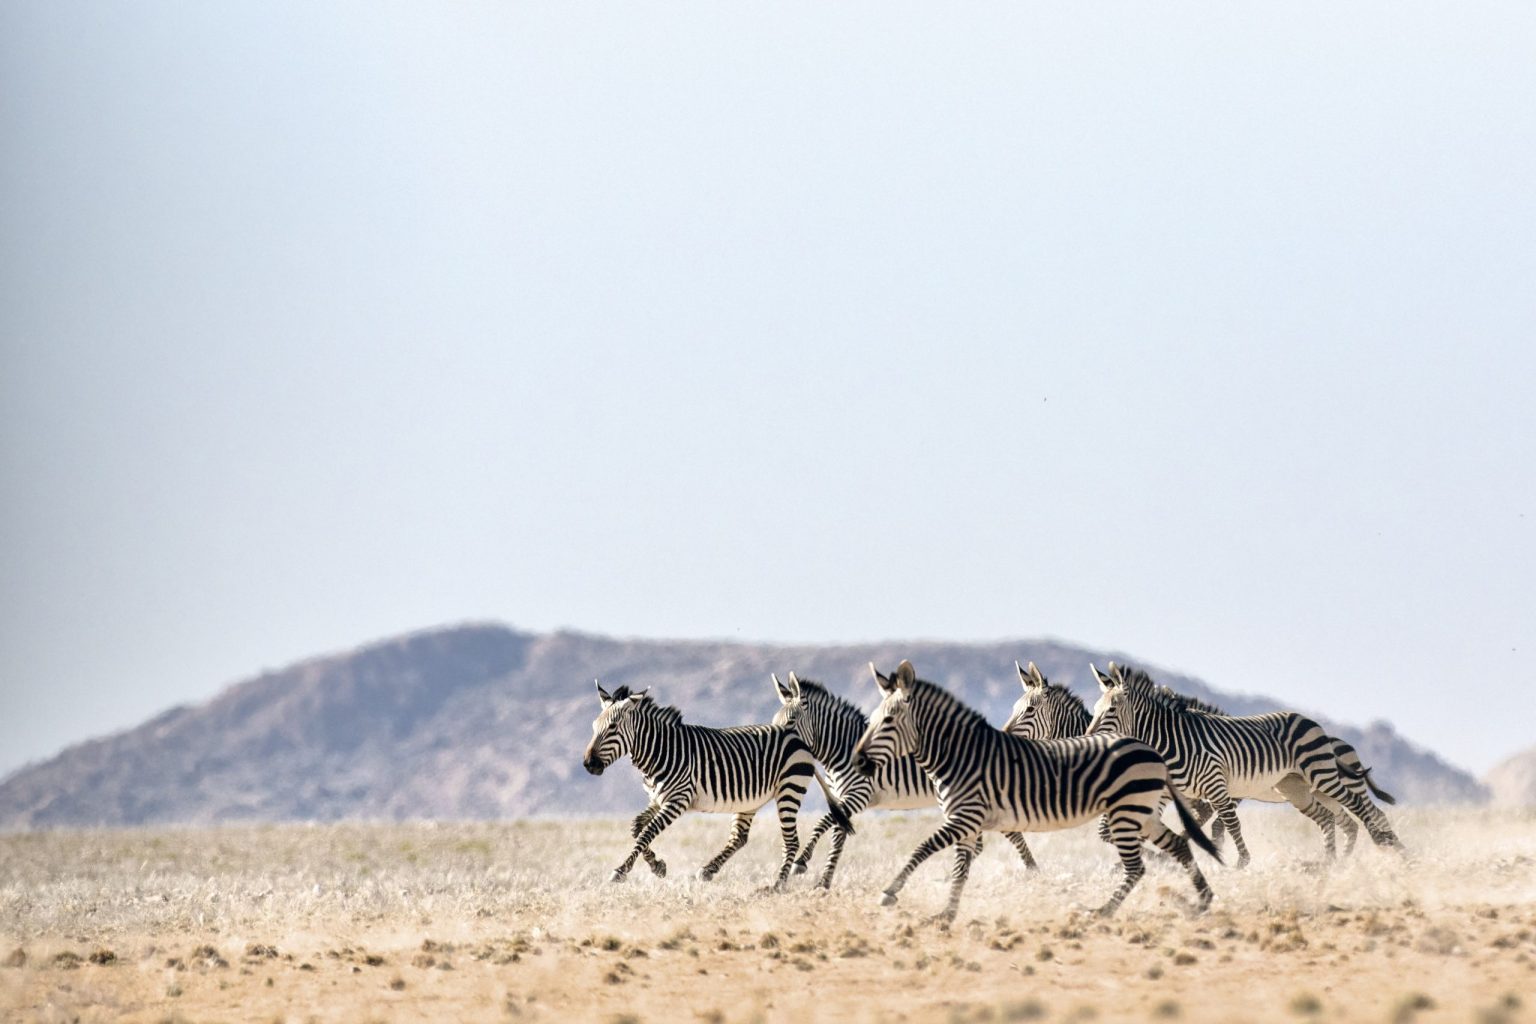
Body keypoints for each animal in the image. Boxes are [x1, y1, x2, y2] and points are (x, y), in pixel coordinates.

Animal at [582, 681, 854, 889]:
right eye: (594, 727)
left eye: (612, 727)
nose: (588, 764)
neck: (661, 751)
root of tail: (799, 739)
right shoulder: (657, 799)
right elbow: (637, 828)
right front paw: (657, 866)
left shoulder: (677, 799)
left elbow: (647, 832)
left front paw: (621, 870)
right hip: (750, 800)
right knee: (740, 838)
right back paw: (709, 870)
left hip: (789, 789)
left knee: (791, 842)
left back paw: (777, 885)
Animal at [770, 671, 1039, 889]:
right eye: (773, 722)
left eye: (791, 722)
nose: (776, 745)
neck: (841, 749)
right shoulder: (841, 798)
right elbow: (838, 835)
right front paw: (824, 882)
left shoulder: (859, 794)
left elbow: (823, 822)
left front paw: (803, 861)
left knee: (1009, 834)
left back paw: (1032, 870)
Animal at [851, 660, 1221, 923]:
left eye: (887, 721)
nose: (858, 760)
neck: (959, 755)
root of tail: (1150, 750)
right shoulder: (968, 824)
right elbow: (960, 868)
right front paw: (946, 914)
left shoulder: (965, 818)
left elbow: (922, 847)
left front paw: (890, 893)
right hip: (1140, 813)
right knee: (1179, 844)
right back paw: (1202, 901)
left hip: (1128, 813)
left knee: (1139, 866)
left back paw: (1102, 911)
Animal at [1004, 662, 1397, 857]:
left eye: (1028, 710)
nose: (1004, 735)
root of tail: (1338, 741)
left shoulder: (1203, 793)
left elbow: (1216, 828)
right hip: (1303, 791)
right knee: (1343, 822)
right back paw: (1339, 862)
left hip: (1328, 782)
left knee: (1368, 814)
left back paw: (1391, 851)